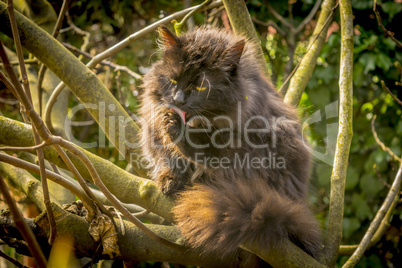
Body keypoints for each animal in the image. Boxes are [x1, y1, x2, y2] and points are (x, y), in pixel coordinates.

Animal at [140, 26, 322, 260]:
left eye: (200, 88)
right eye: (172, 81)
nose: (178, 100)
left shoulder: (239, 147)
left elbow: (202, 150)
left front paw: (177, 130)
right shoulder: (153, 130)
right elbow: (165, 158)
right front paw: (169, 180)